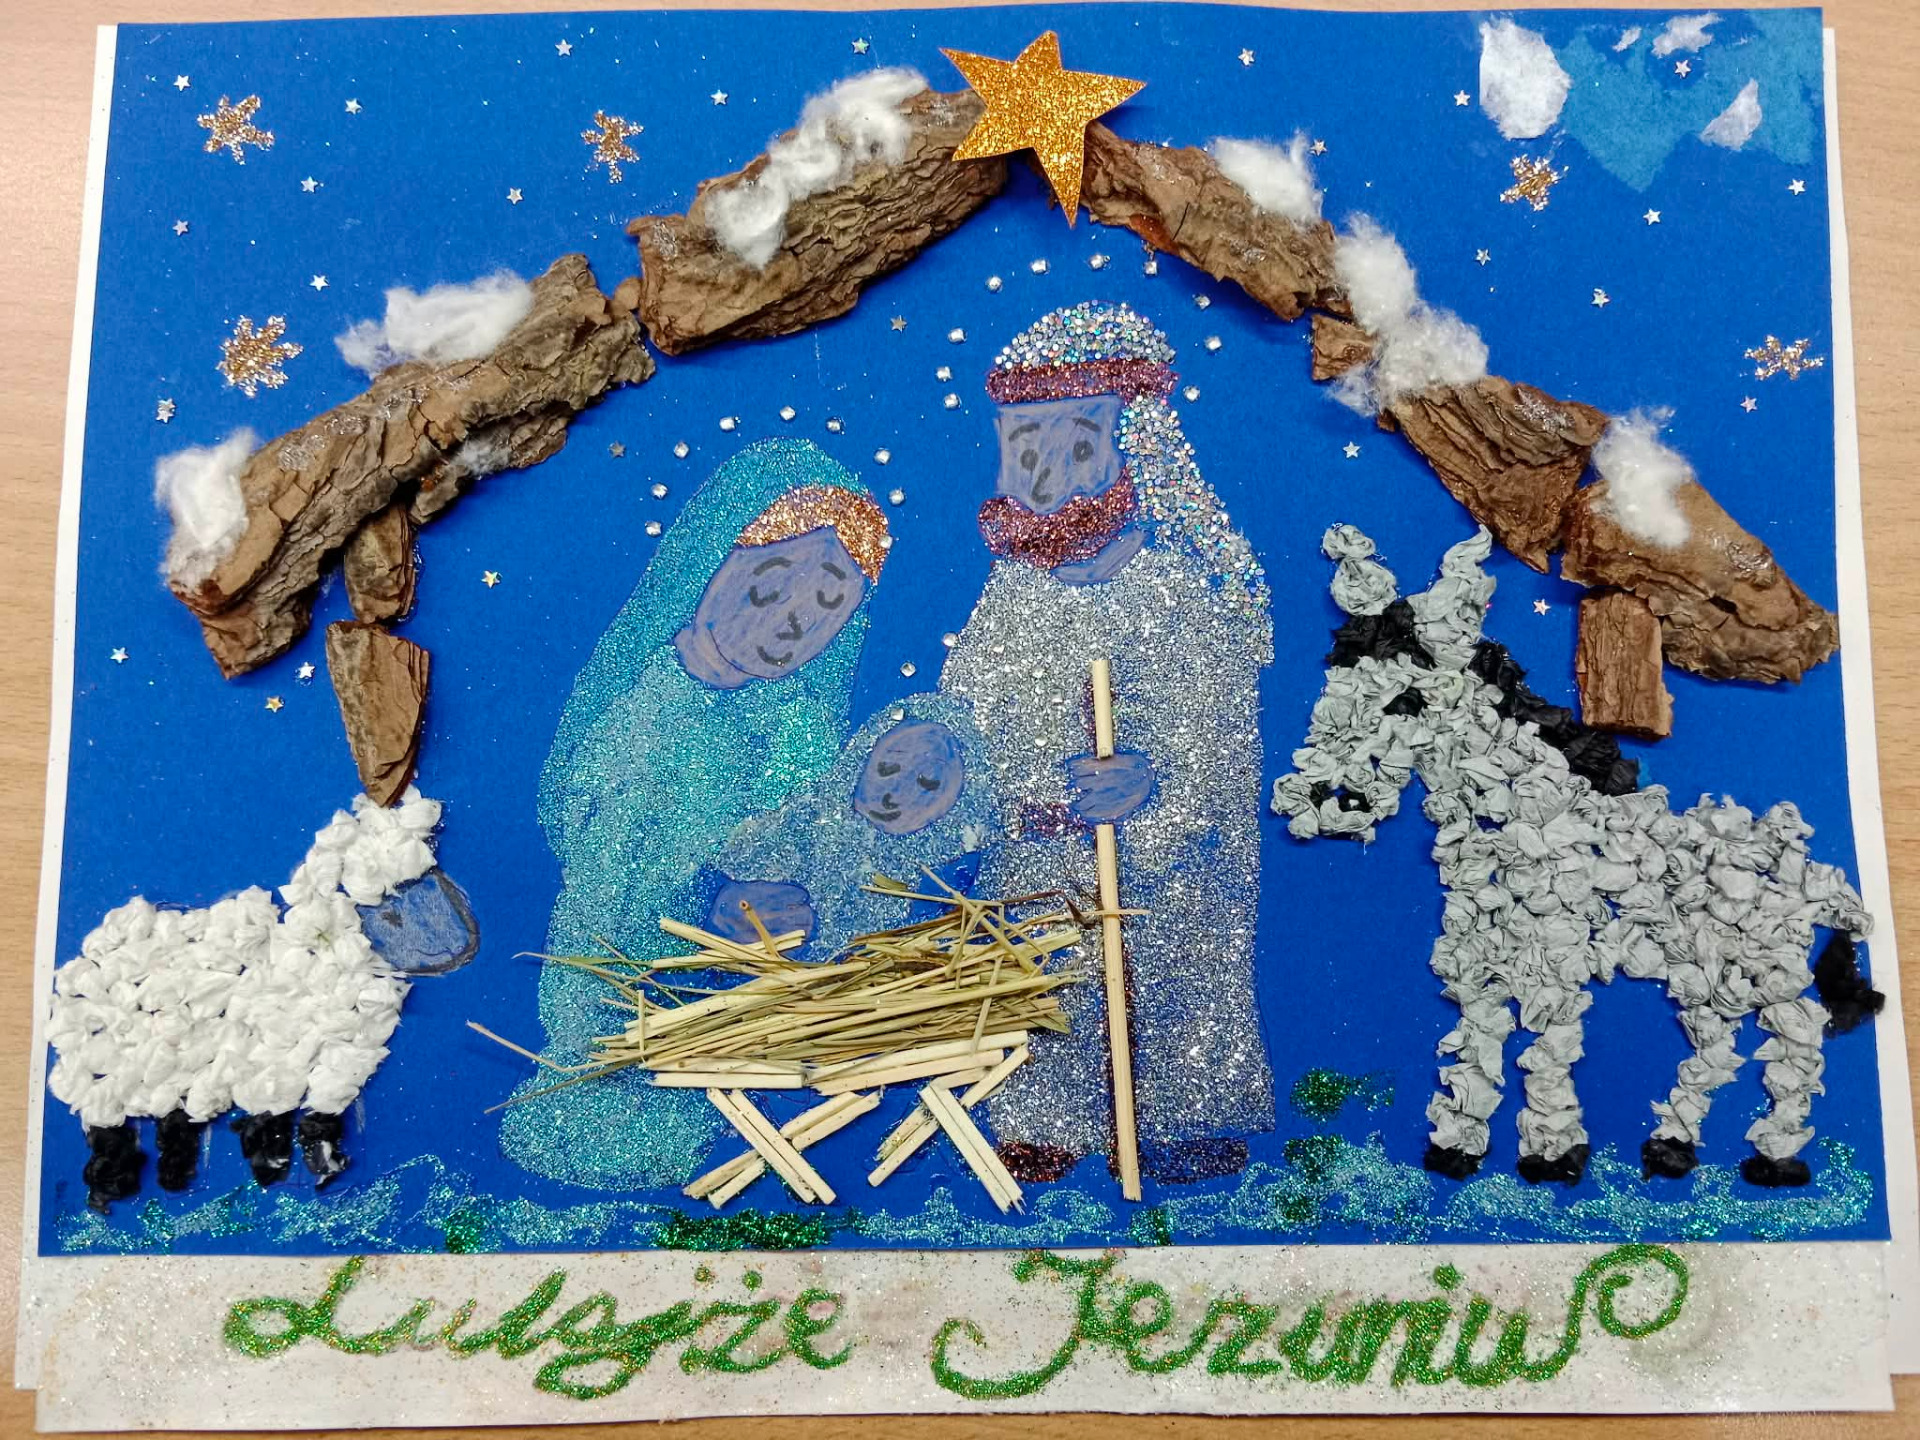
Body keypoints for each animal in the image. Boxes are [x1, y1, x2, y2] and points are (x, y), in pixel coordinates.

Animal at [1269, 524, 1882, 1188]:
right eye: (1331, 679)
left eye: (1398, 701)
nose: (1315, 799)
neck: (1516, 830)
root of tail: (1826, 883)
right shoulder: (1481, 978)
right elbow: (1479, 1058)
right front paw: (1458, 1152)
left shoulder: (1557, 974)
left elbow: (1545, 1066)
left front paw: (1550, 1157)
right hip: (1716, 980)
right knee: (1721, 1049)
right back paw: (1676, 1148)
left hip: (1772, 976)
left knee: (1798, 1052)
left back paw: (1774, 1161)